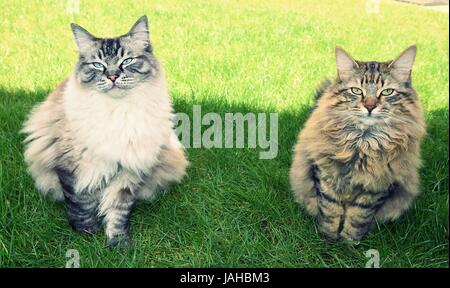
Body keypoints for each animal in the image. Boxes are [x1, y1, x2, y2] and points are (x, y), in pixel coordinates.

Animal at [22, 15, 187, 248]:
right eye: (98, 65)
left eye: (126, 61)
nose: (112, 76)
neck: (117, 111)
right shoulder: (72, 167)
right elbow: (80, 204)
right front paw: (87, 234)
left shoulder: (129, 170)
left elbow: (118, 211)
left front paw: (118, 244)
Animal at [290, 46, 428, 241]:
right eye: (356, 90)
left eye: (387, 92)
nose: (369, 106)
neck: (363, 142)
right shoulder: (325, 175)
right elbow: (330, 212)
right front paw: (329, 239)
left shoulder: (377, 187)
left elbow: (358, 217)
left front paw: (349, 242)